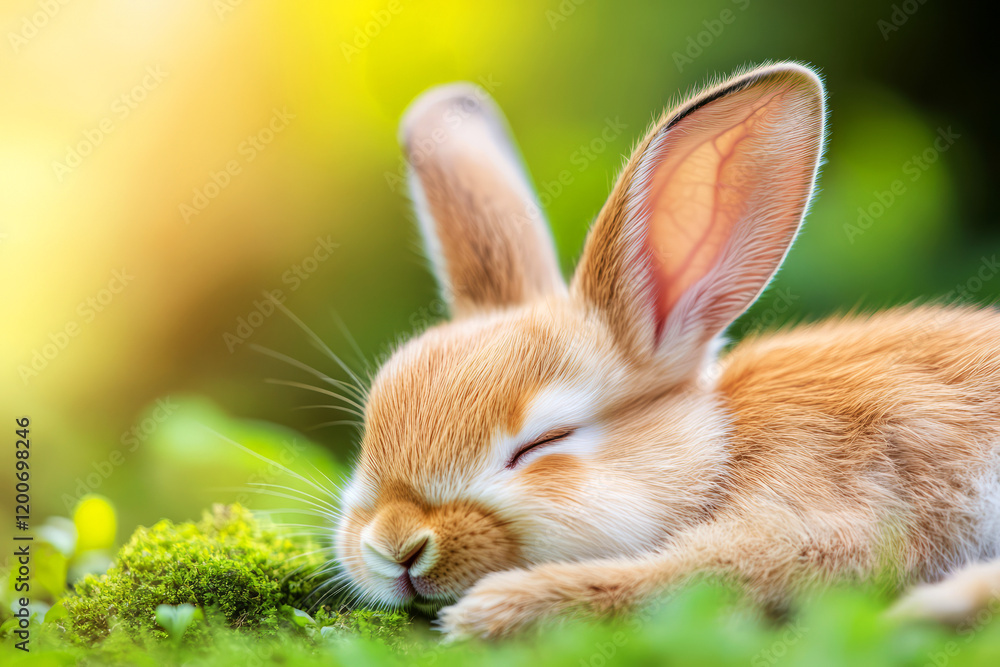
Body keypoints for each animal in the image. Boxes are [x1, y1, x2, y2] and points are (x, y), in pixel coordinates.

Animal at [332, 62, 1000, 640]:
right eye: (369, 431)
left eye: (546, 442)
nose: (394, 545)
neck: (723, 444)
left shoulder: (825, 510)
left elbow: (703, 573)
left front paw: (495, 612)